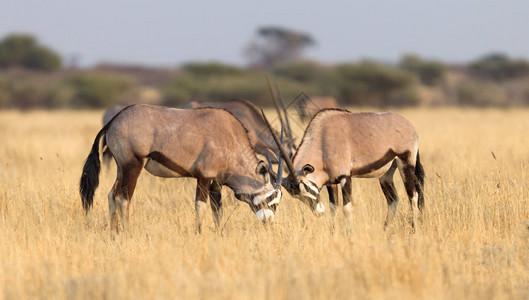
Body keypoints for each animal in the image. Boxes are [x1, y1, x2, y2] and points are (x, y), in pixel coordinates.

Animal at [79, 104, 282, 233]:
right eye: (271, 197)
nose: (269, 222)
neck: (230, 137)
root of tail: (113, 120)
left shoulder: (216, 183)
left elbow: (217, 210)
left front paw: (219, 234)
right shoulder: (204, 177)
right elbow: (201, 207)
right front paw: (199, 234)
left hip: (121, 168)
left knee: (111, 195)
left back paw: (114, 234)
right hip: (133, 166)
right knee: (123, 199)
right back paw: (127, 232)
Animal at [264, 109, 424, 229]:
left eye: (307, 188)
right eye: (297, 196)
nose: (318, 212)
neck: (323, 139)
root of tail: (409, 126)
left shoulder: (345, 178)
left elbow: (347, 209)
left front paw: (349, 234)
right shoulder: (331, 182)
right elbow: (333, 208)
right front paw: (333, 233)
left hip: (405, 163)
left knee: (413, 196)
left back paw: (414, 230)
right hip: (386, 173)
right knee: (393, 199)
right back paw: (386, 230)